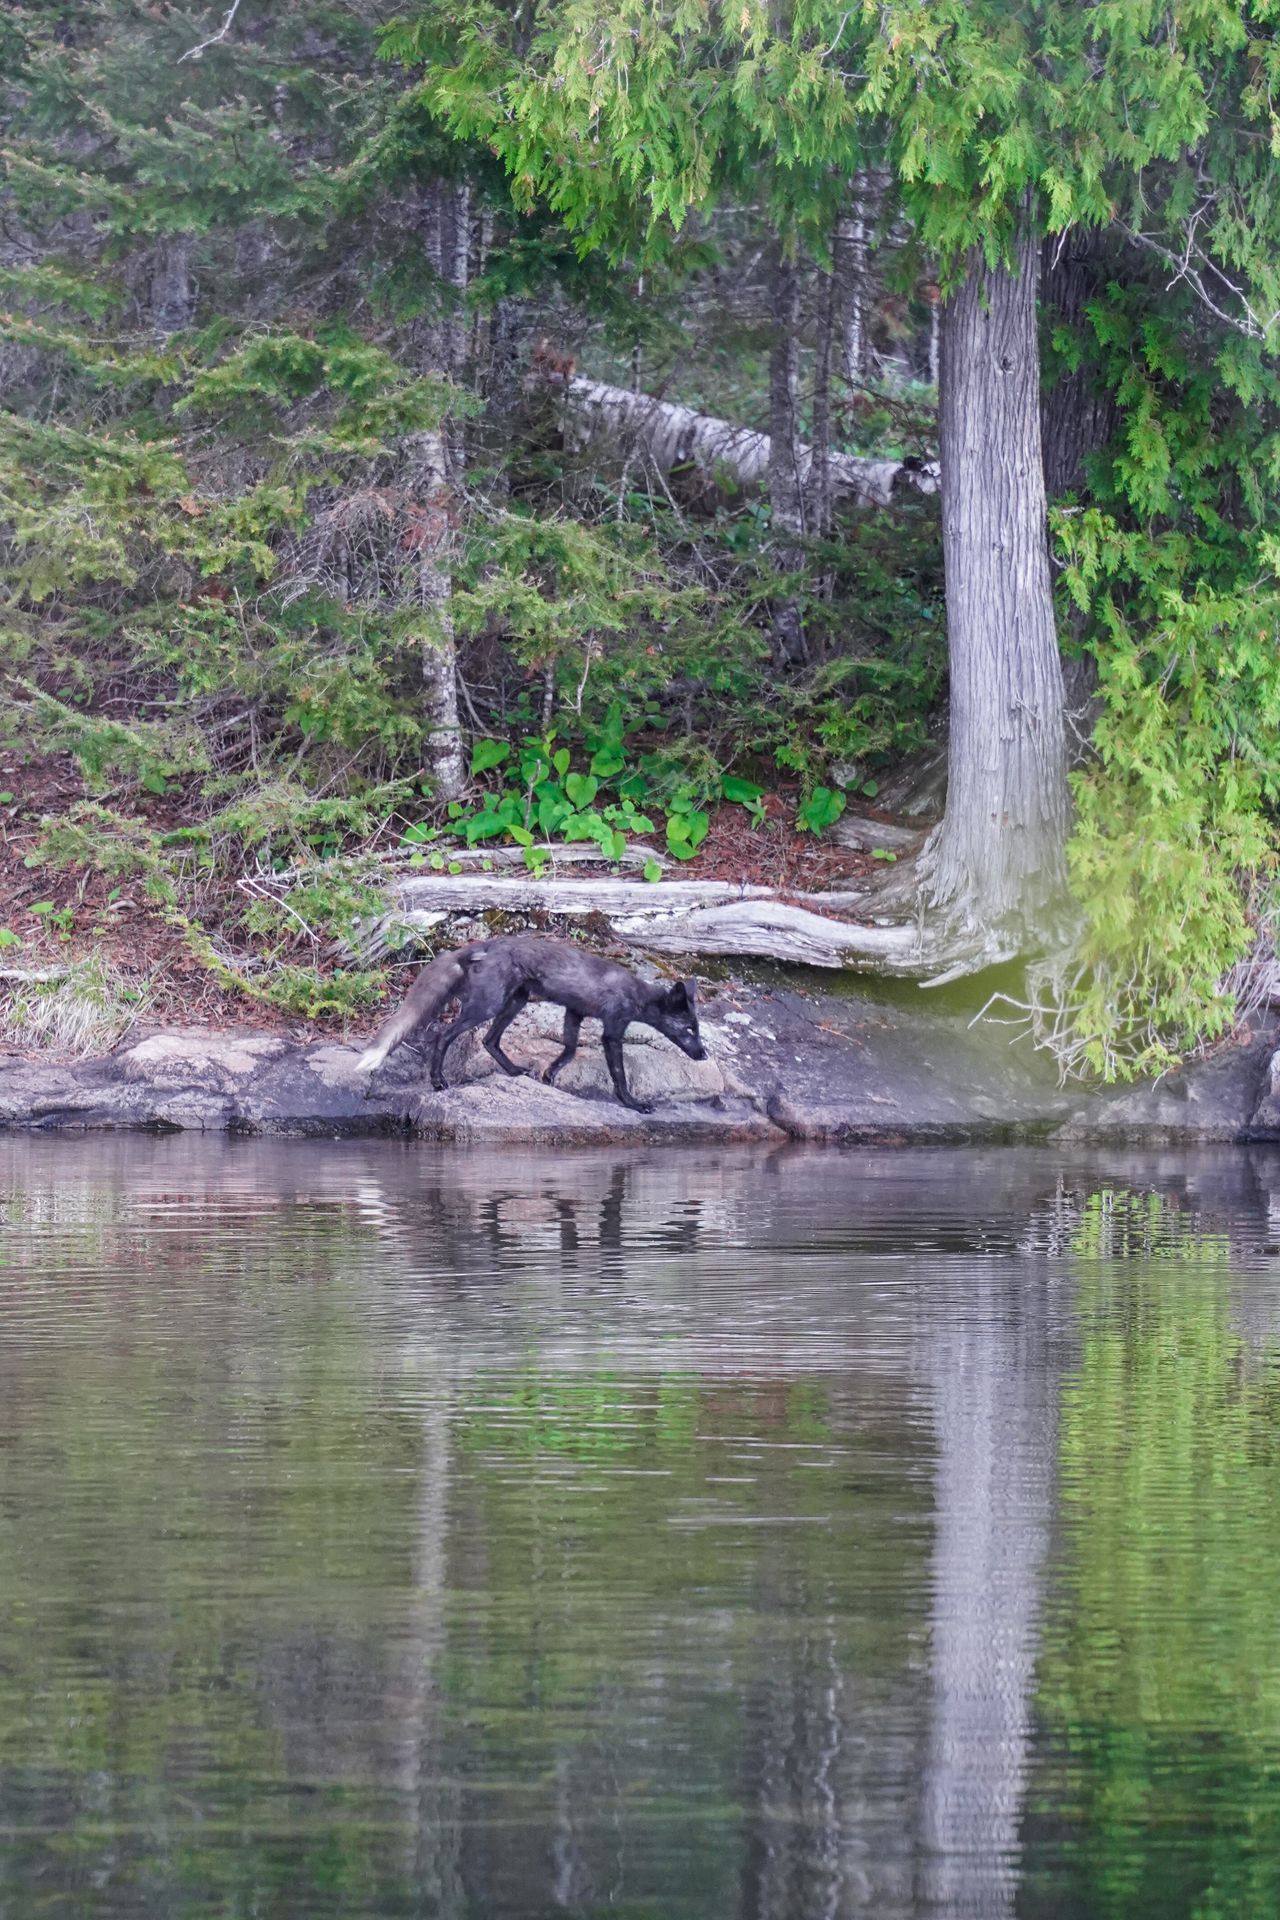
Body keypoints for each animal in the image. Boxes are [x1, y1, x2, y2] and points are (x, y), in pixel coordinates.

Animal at [356, 934, 706, 1113]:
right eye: (689, 1030)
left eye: (698, 1029)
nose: (703, 1055)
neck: (635, 994)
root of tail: (484, 946)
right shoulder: (612, 1029)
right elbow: (619, 1075)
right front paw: (633, 1104)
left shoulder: (574, 1012)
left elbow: (569, 1050)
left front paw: (550, 1074)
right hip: (488, 1005)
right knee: (443, 1035)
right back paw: (438, 1081)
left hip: (516, 1001)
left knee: (490, 1041)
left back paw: (513, 1072)